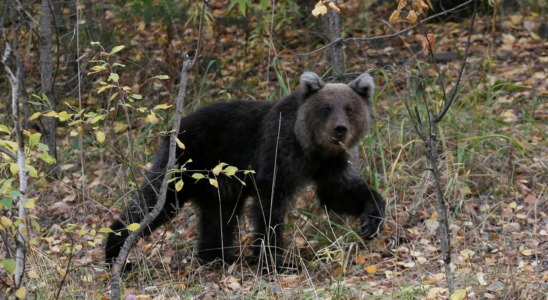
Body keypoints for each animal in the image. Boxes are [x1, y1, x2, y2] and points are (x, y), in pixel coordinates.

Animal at [106, 71, 386, 272]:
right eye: (326, 108)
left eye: (350, 109)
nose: (340, 129)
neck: (311, 147)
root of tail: (173, 128)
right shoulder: (279, 152)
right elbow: (270, 206)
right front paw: (276, 262)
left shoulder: (330, 164)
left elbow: (339, 192)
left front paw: (371, 219)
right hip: (184, 166)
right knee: (155, 202)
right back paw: (117, 253)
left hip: (219, 183)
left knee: (219, 216)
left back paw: (219, 256)